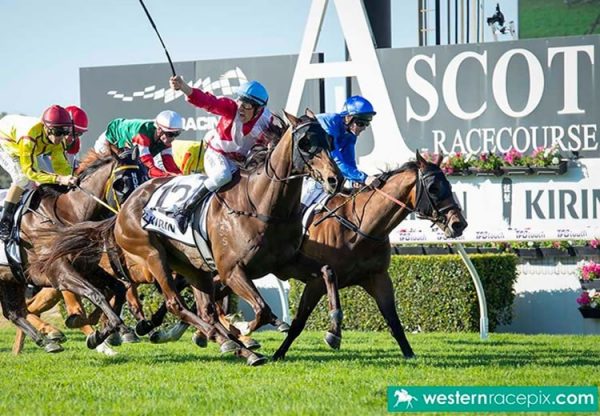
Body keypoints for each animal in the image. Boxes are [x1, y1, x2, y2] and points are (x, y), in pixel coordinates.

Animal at [0, 148, 142, 352]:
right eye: (121, 183)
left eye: (143, 176)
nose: (135, 217)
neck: (66, 217)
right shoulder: (58, 271)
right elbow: (96, 294)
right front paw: (109, 328)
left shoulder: (87, 268)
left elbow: (118, 289)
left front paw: (99, 333)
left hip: (10, 277)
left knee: (14, 312)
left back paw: (47, 341)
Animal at [39, 110, 342, 364]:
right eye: (305, 142)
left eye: (328, 140)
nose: (335, 179)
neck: (261, 204)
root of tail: (124, 208)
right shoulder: (232, 270)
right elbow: (262, 310)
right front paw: (244, 328)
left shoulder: (284, 263)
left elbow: (327, 271)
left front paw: (334, 330)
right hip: (153, 256)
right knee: (175, 303)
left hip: (193, 266)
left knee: (202, 309)